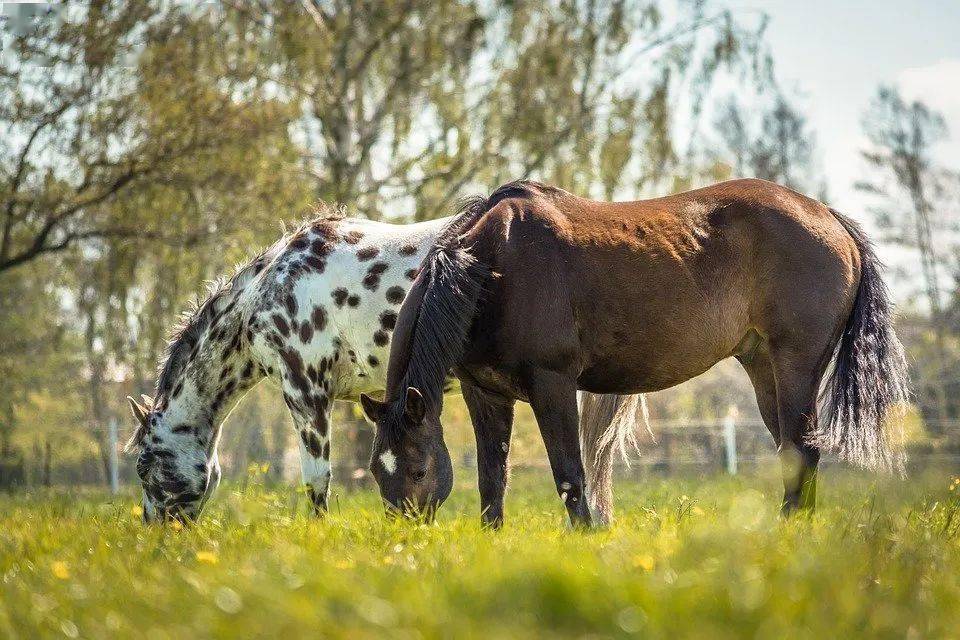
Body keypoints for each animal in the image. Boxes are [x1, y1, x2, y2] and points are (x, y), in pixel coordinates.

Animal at [360, 176, 908, 524]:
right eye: (377, 473)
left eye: (418, 469)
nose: (406, 537)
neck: (491, 268)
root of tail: (828, 216)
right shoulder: (485, 394)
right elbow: (493, 479)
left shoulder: (552, 384)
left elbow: (570, 475)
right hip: (762, 367)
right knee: (792, 452)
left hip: (796, 364)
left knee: (802, 447)